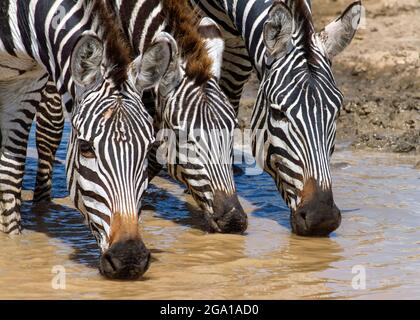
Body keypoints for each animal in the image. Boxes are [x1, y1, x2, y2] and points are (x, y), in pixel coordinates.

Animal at [0, 0, 187, 278]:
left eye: (148, 149)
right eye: (86, 148)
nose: (129, 259)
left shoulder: (26, 84)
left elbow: (10, 176)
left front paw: (13, 247)